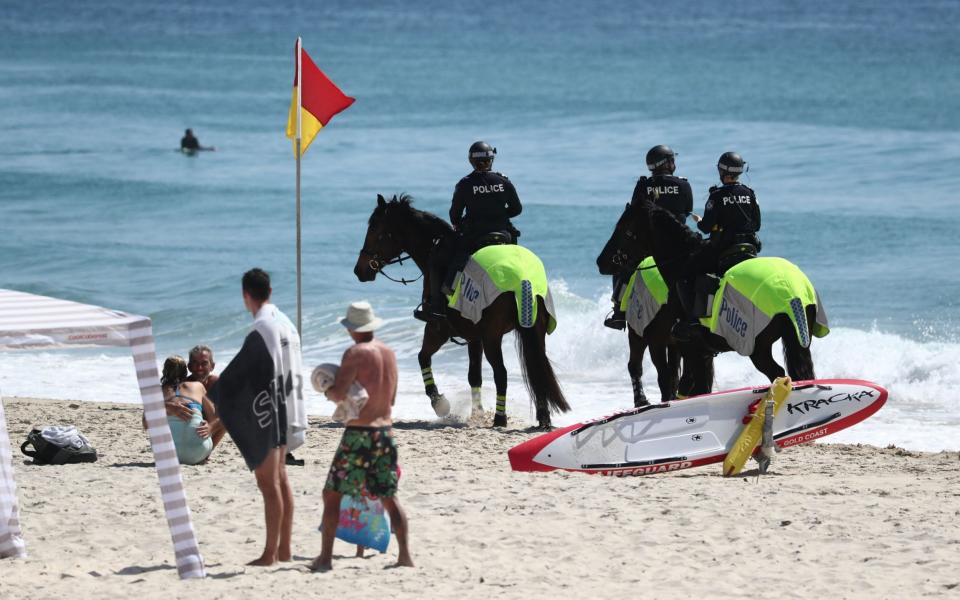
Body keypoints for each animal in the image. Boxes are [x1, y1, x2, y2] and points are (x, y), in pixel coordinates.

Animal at [354, 195, 568, 428]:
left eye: (375, 230)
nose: (359, 270)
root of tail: (523, 278)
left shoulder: (438, 329)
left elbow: (423, 357)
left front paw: (440, 404)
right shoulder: (474, 336)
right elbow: (474, 375)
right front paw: (477, 412)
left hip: (492, 337)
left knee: (501, 373)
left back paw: (500, 418)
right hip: (534, 332)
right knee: (538, 371)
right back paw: (543, 417)